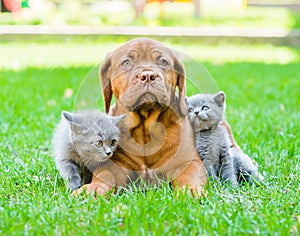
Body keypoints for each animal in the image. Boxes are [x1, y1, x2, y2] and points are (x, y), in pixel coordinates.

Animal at [74, 37, 207, 197]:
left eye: (163, 62)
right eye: (126, 62)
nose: (148, 76)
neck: (144, 128)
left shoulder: (187, 161)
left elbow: (189, 175)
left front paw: (190, 190)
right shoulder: (114, 163)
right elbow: (105, 175)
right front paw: (93, 189)